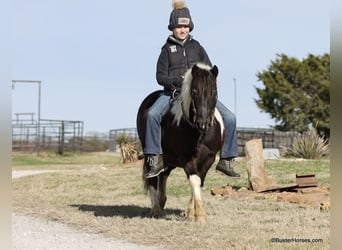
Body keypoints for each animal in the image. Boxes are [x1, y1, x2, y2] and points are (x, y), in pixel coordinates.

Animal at [136, 63, 224, 222]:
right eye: (194, 90)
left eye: (214, 91)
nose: (203, 123)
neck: (198, 134)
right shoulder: (186, 158)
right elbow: (194, 180)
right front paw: (200, 215)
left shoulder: (209, 158)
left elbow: (199, 180)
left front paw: (190, 212)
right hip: (149, 151)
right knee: (152, 177)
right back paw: (156, 209)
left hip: (168, 157)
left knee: (164, 174)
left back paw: (161, 202)